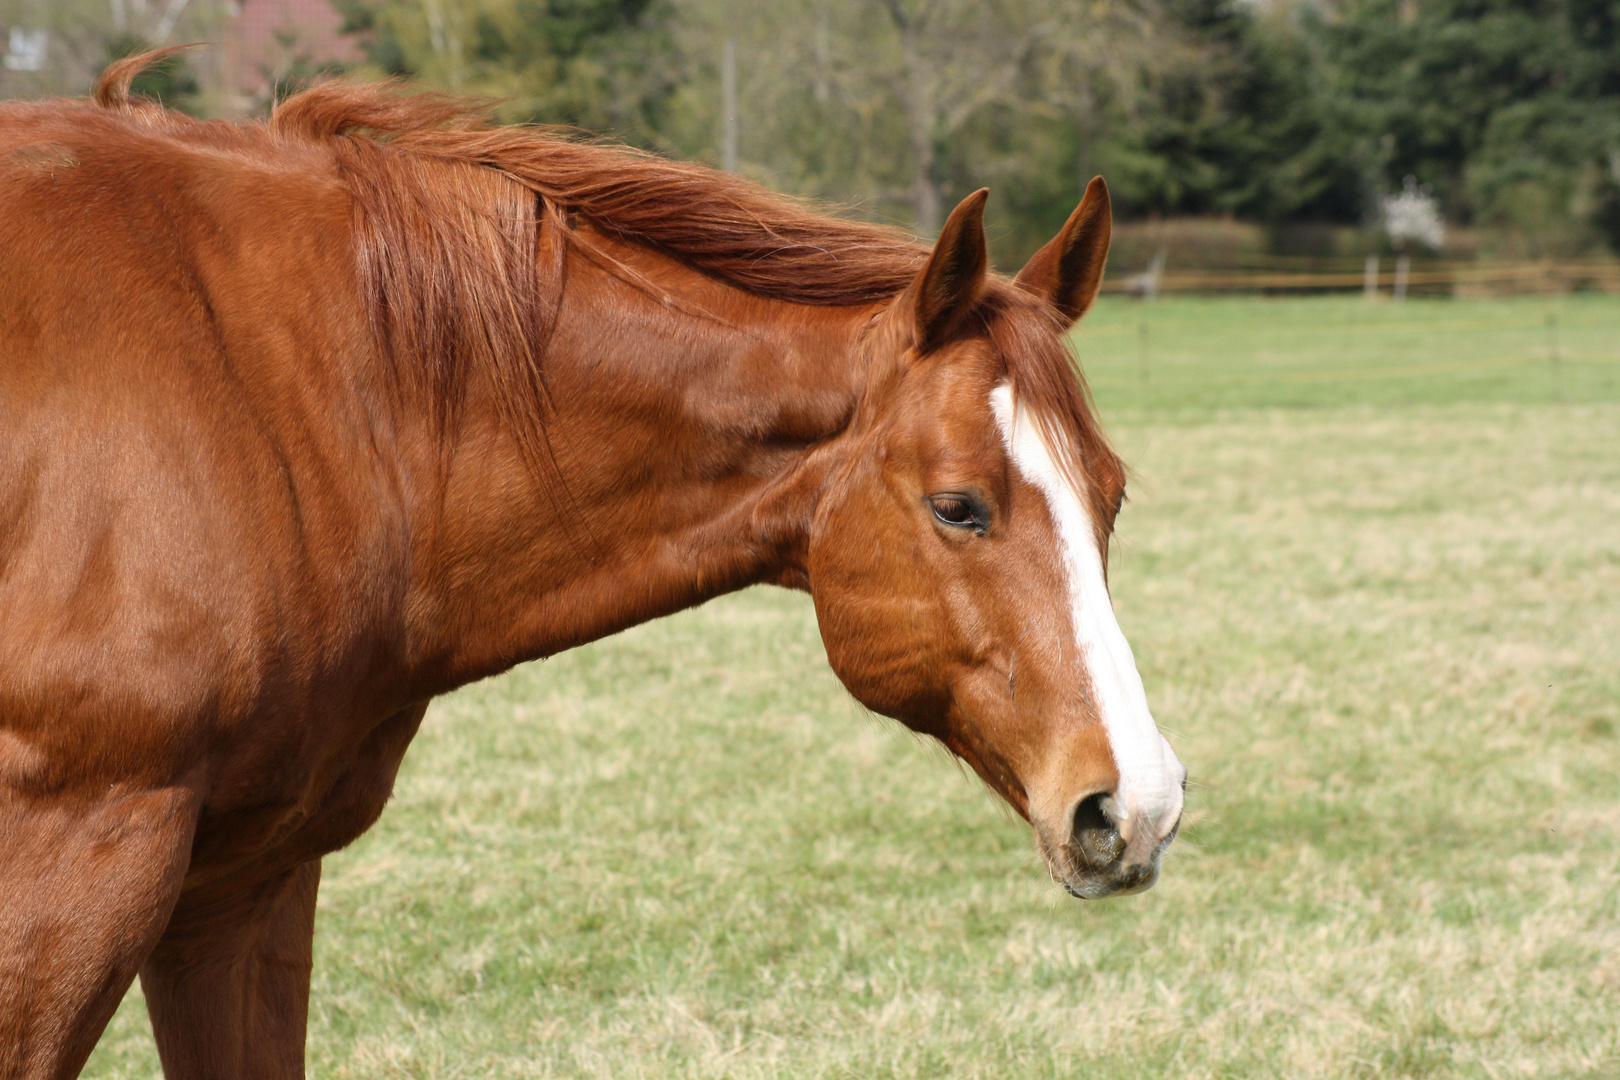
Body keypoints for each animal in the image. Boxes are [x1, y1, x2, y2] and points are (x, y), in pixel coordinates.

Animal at [0, 52, 1192, 1080]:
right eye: (959, 507)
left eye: (1111, 494)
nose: (1137, 804)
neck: (272, 389)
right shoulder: (78, 866)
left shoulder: (246, 882)